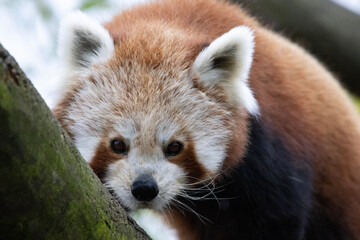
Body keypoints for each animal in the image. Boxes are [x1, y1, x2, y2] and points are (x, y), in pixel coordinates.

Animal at [52, 0, 360, 240]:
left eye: (174, 147)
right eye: (117, 145)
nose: (144, 188)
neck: (169, 22)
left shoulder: (270, 149)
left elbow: (273, 220)